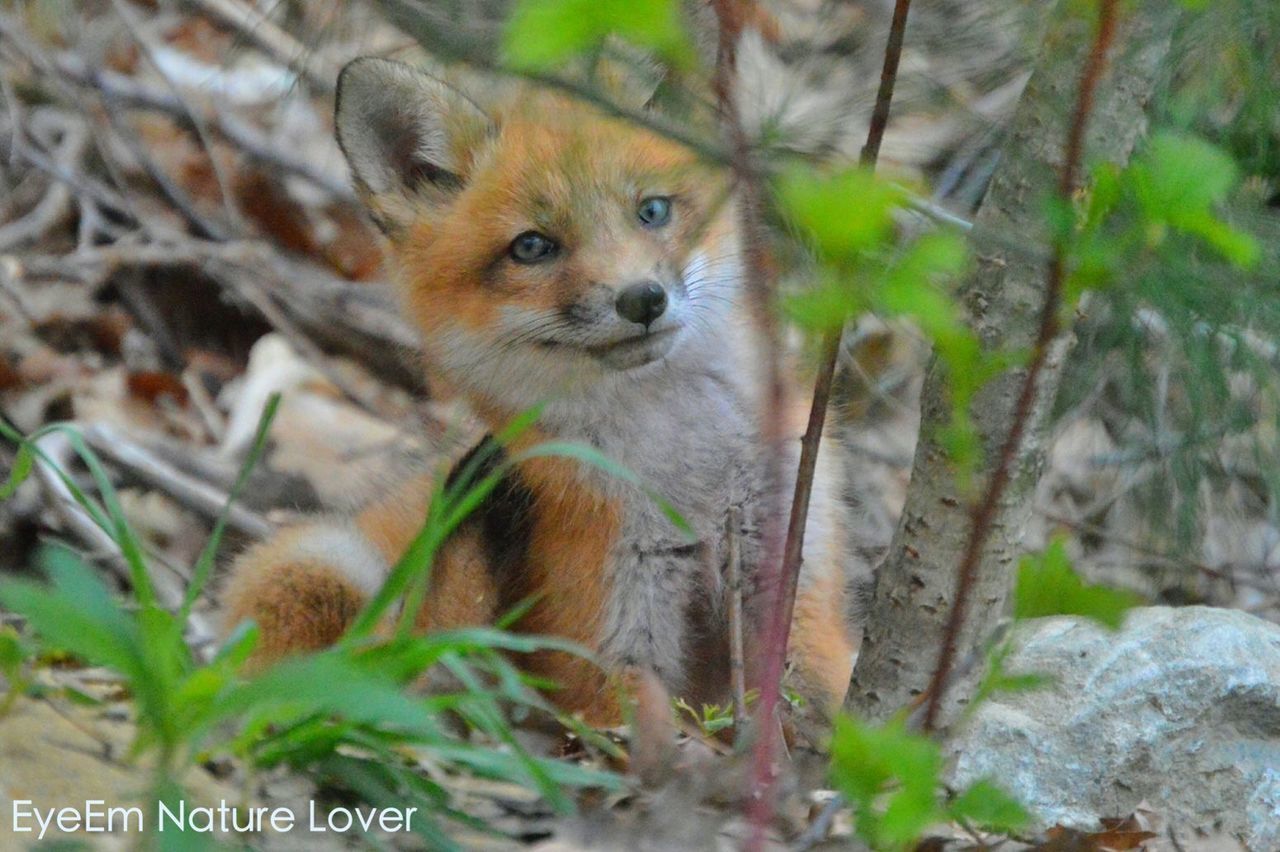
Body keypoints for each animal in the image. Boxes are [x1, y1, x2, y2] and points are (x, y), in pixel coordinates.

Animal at [222, 56, 860, 726]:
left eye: (653, 211)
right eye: (532, 247)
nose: (642, 299)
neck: (690, 472)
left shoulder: (797, 582)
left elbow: (833, 710)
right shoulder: (606, 644)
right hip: (314, 563)